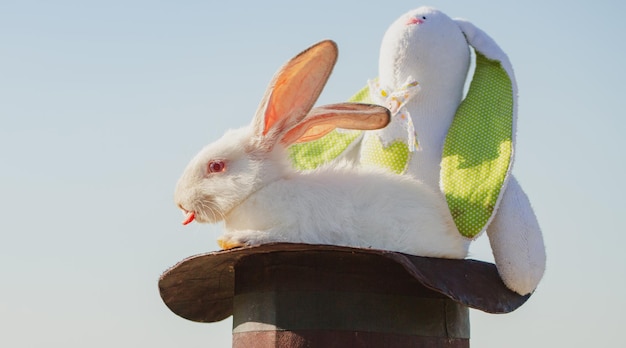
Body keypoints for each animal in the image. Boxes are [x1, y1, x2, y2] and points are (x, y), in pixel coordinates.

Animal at [174, 40, 468, 258]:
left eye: (216, 166)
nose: (179, 202)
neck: (261, 189)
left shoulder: (290, 228)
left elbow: (271, 236)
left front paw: (235, 238)